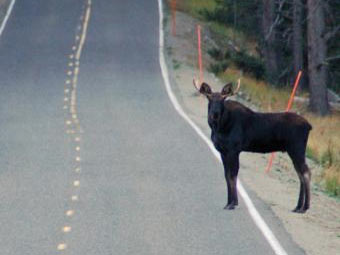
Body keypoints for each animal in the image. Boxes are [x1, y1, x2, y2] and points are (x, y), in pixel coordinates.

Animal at [194, 79, 314, 213]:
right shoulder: (223, 151)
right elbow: (226, 175)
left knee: (306, 173)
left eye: (222, 100)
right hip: (293, 151)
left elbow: (232, 175)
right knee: (300, 174)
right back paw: (298, 206)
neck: (219, 127)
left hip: (296, 149)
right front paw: (228, 202)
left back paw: (305, 207)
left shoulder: (233, 150)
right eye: (209, 98)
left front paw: (233, 203)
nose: (214, 114)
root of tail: (309, 126)